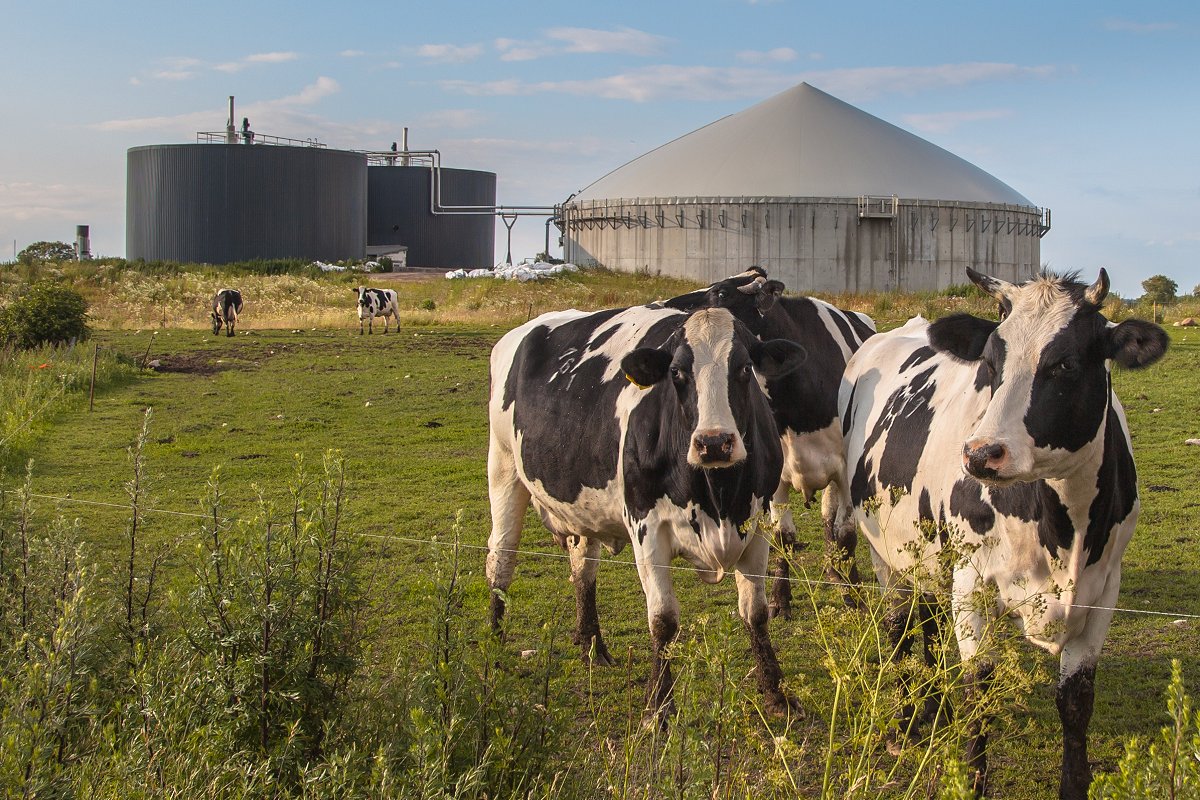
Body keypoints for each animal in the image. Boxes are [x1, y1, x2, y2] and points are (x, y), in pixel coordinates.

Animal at [487, 305, 806, 715]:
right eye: (677, 372)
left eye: (744, 367)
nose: (714, 443)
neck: (717, 498)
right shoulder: (647, 528)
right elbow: (663, 621)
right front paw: (658, 707)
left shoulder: (758, 522)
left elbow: (756, 612)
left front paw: (777, 693)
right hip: (503, 468)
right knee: (501, 560)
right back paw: (495, 650)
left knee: (583, 569)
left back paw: (592, 646)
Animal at [665, 267, 876, 615]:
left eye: (721, 293)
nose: (669, 307)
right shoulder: (776, 474)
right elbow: (782, 536)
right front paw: (780, 598)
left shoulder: (846, 469)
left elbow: (846, 533)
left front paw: (853, 594)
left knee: (832, 520)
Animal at [839, 268, 1167, 798]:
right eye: (990, 363)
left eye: (1065, 363)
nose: (980, 454)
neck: (1063, 531)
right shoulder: (972, 584)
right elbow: (980, 693)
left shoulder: (1104, 592)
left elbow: (1076, 702)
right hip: (884, 551)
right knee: (899, 626)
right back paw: (906, 720)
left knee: (929, 621)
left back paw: (933, 708)